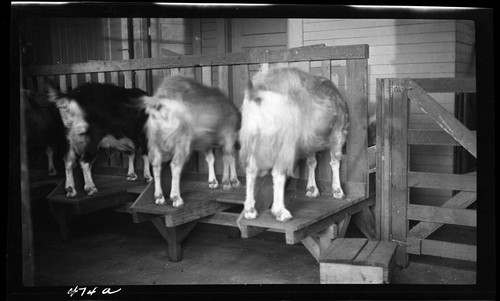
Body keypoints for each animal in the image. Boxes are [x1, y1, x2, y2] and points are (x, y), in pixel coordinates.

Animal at [142, 75, 241, 207]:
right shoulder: (228, 135)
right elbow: (228, 158)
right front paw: (230, 182)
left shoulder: (206, 141)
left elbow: (211, 158)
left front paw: (213, 182)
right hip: (182, 140)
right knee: (175, 164)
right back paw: (176, 198)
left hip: (154, 140)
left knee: (156, 164)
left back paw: (159, 197)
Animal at [238, 68, 348, 223]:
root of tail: (257, 93)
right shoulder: (338, 131)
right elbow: (335, 161)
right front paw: (338, 191)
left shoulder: (309, 139)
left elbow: (311, 162)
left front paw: (312, 189)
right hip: (284, 139)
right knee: (277, 172)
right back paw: (281, 212)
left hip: (254, 137)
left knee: (251, 169)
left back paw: (250, 210)